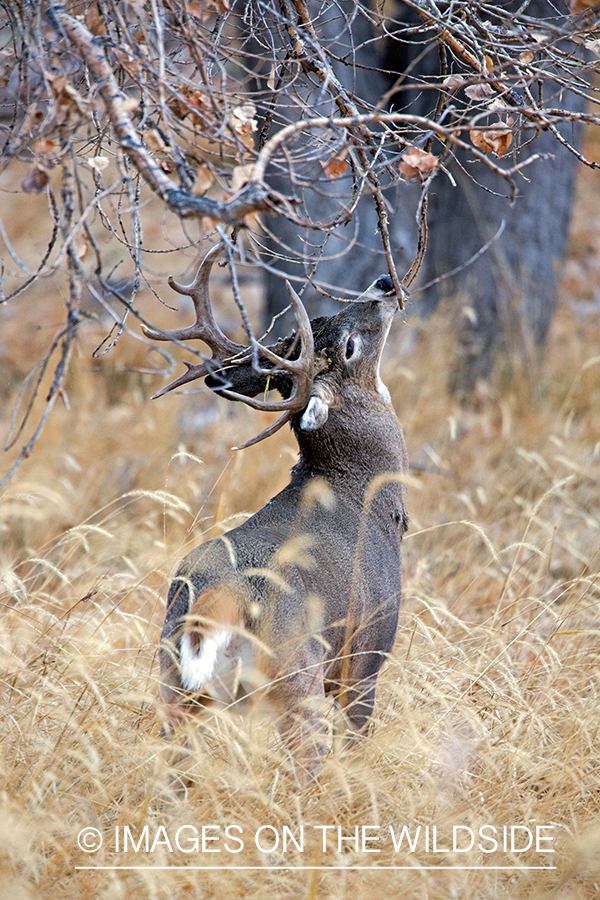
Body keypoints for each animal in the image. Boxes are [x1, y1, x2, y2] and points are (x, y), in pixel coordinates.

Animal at [143, 244, 410, 780]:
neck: (368, 497)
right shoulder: (366, 653)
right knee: (307, 765)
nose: (385, 284)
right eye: (349, 345)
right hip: (296, 678)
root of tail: (219, 599)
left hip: (174, 683)